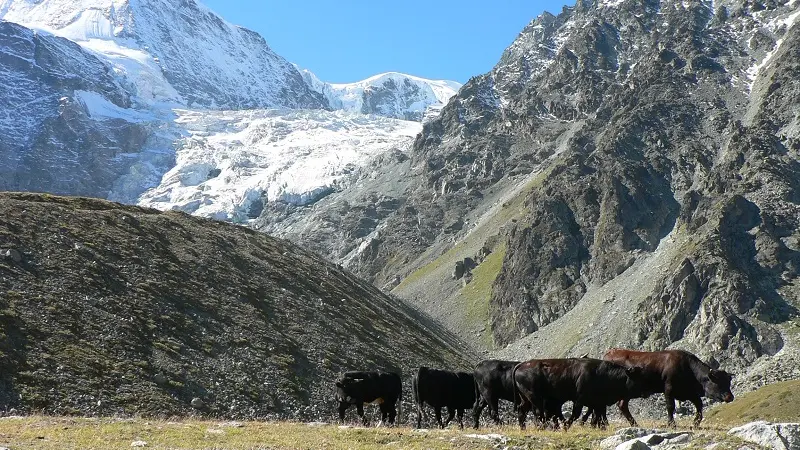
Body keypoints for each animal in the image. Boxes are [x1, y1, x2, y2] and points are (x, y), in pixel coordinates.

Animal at [512, 358, 648, 428]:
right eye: (637, 378)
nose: (647, 392)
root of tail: (521, 365)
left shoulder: (598, 403)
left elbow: (598, 416)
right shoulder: (580, 400)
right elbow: (577, 414)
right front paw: (566, 426)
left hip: (526, 399)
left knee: (523, 410)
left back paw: (524, 428)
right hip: (535, 398)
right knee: (538, 413)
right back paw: (544, 427)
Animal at [604, 350, 736, 428]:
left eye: (728, 382)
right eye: (718, 382)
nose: (730, 397)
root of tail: (610, 352)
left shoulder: (689, 393)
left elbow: (699, 405)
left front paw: (695, 423)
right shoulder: (669, 389)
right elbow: (670, 407)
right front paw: (671, 424)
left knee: (622, 405)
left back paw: (635, 425)